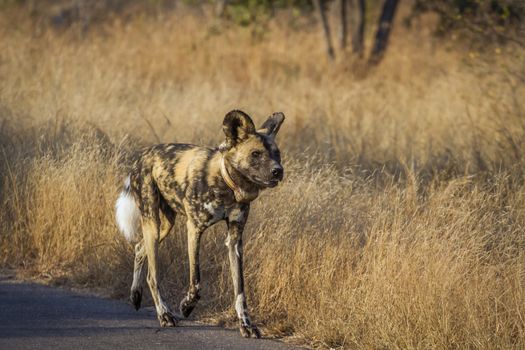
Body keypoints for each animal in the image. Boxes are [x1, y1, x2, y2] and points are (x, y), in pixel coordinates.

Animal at [115, 110, 284, 338]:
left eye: (277, 154)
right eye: (255, 154)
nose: (278, 171)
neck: (226, 184)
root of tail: (142, 155)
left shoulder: (235, 241)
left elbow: (240, 290)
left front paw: (246, 324)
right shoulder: (194, 229)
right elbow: (196, 280)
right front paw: (186, 307)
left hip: (165, 226)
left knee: (140, 247)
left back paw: (135, 295)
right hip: (152, 223)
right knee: (152, 275)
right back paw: (164, 314)